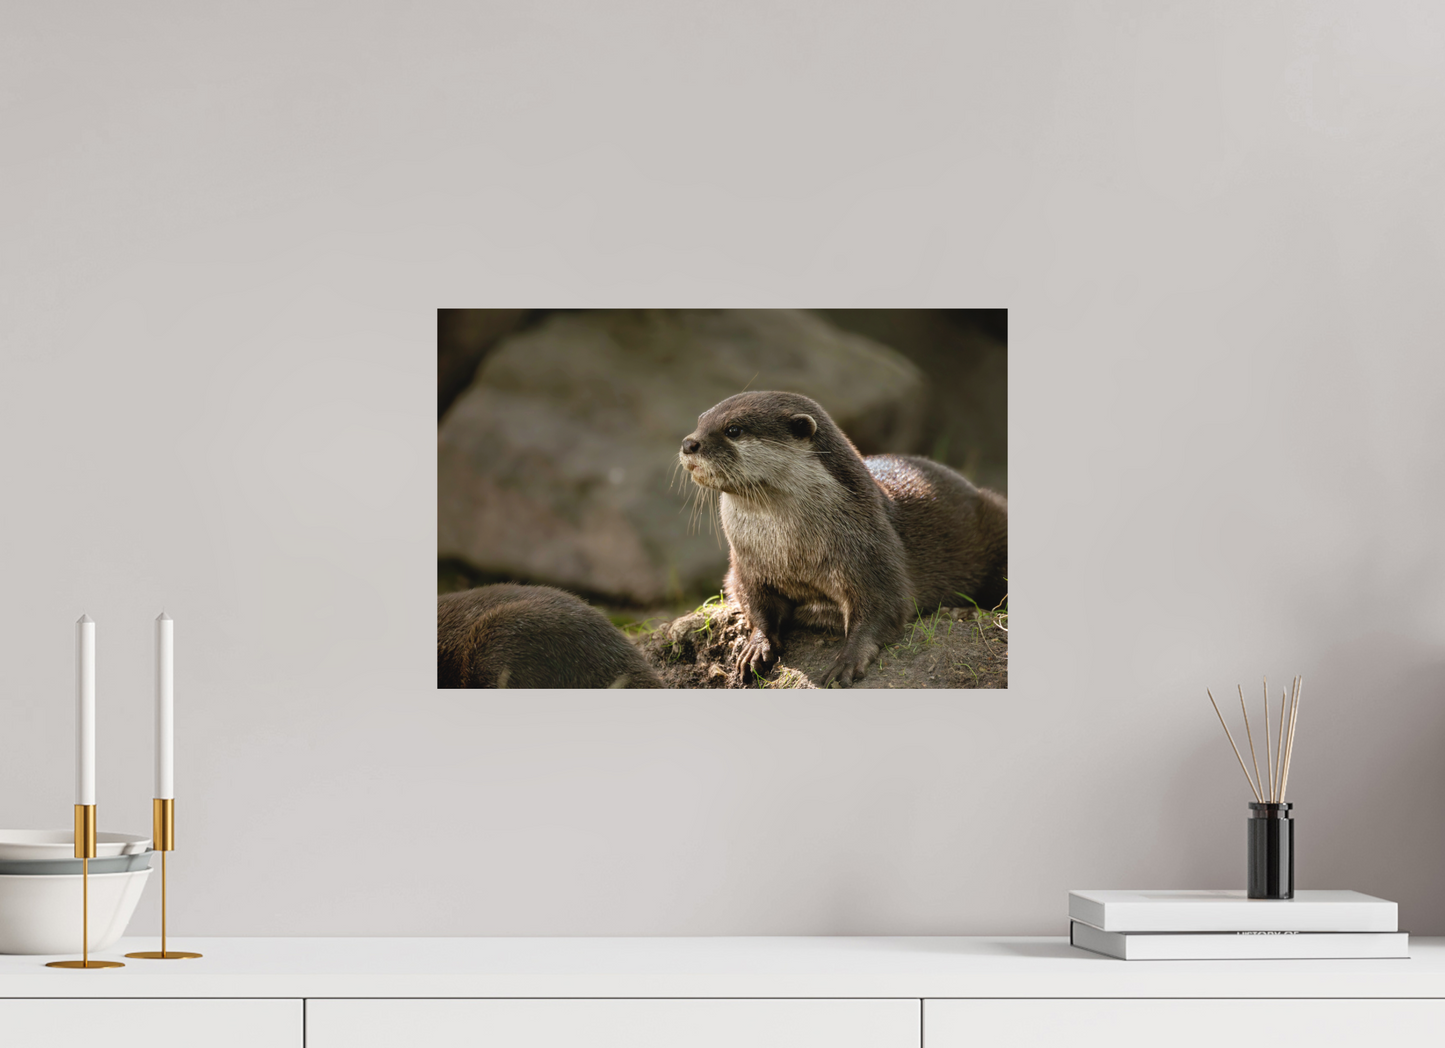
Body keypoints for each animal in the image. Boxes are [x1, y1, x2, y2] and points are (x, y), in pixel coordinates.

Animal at [679, 391, 1007, 687]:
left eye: (733, 429)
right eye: (700, 421)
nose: (688, 443)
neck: (790, 552)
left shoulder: (872, 551)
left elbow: (885, 607)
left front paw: (847, 660)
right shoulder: (745, 566)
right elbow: (755, 606)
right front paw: (757, 646)